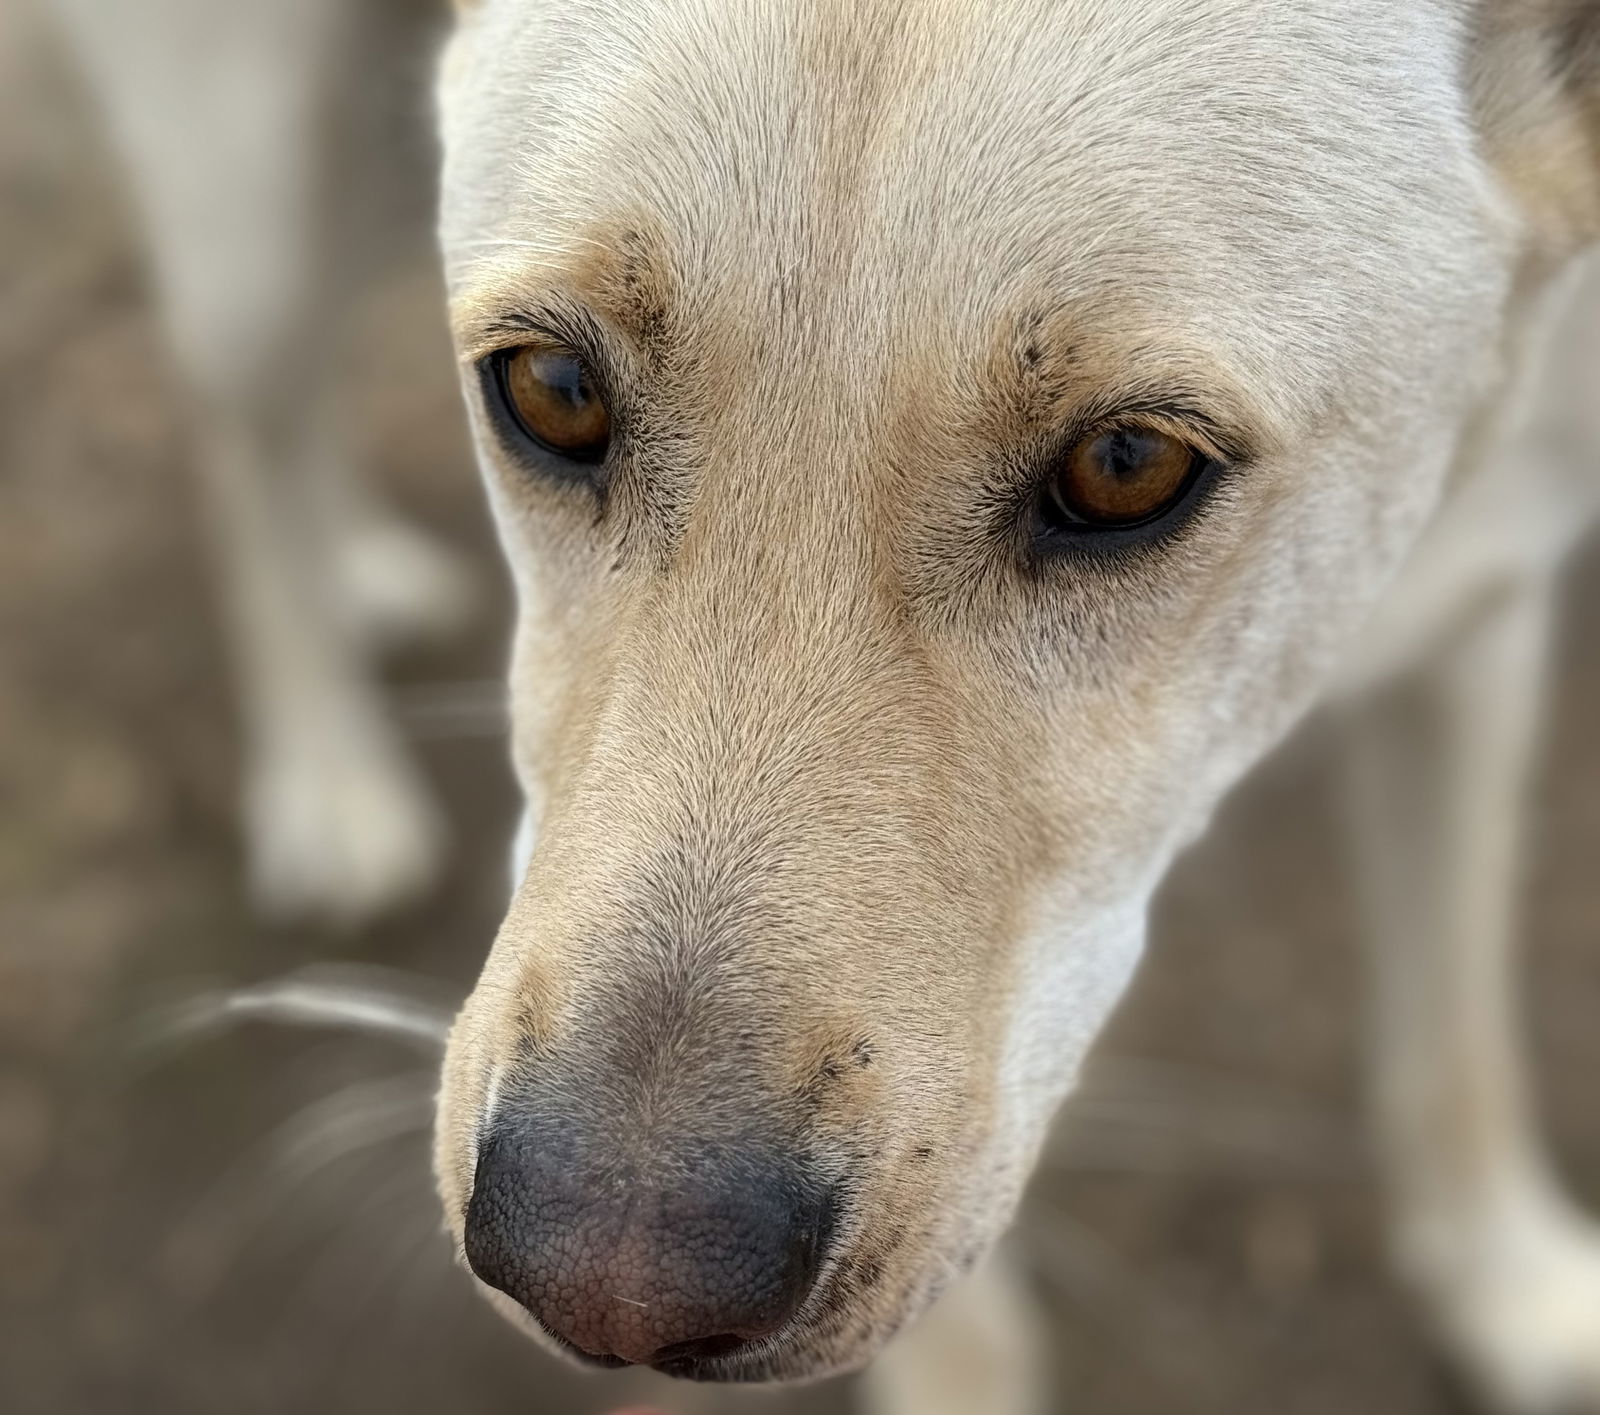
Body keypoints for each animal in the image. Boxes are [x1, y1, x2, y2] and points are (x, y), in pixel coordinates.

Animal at [50, 2, 1600, 1415]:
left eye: (1127, 464)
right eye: (551, 388)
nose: (607, 1293)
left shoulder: (1488, 617)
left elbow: (1455, 1028)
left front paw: (1510, 1278)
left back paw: (360, 566)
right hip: (249, 195)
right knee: (241, 421)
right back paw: (327, 773)